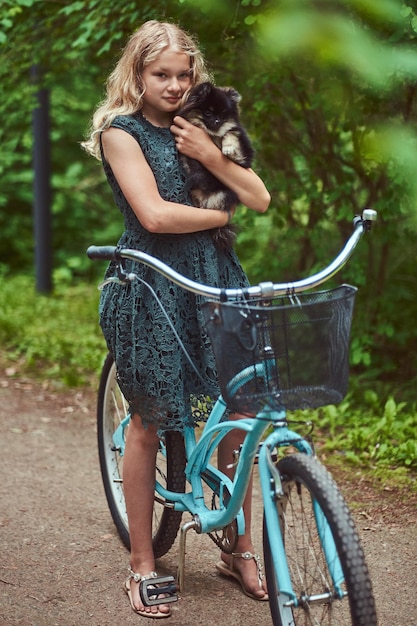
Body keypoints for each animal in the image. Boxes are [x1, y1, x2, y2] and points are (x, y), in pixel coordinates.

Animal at [176, 81, 254, 247]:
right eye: (208, 113)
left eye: (223, 115)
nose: (218, 121)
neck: (211, 135)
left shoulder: (244, 159)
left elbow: (230, 133)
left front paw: (228, 148)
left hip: (223, 194)